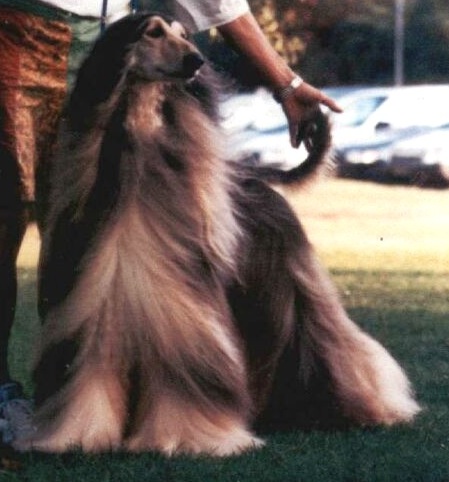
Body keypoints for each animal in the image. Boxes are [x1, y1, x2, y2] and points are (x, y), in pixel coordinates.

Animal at [16, 11, 416, 456]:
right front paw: (74, 436)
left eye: (183, 33)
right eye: (153, 32)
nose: (196, 61)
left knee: (338, 343)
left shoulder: (187, 323)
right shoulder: (95, 318)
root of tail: (259, 181)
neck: (137, 174)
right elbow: (87, 384)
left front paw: (186, 437)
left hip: (297, 290)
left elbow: (183, 385)